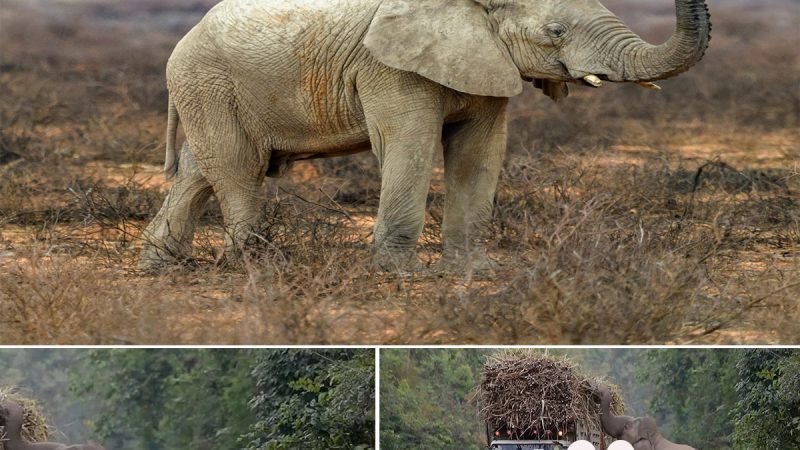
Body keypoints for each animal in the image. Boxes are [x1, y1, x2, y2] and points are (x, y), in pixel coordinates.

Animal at [139, 0, 712, 272]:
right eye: (556, 32)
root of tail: (184, 37)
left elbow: (479, 152)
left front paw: (475, 270)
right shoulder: (387, 65)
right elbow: (408, 143)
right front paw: (400, 274)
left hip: (208, 91)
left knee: (199, 172)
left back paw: (161, 267)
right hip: (208, 83)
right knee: (239, 168)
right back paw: (254, 266)